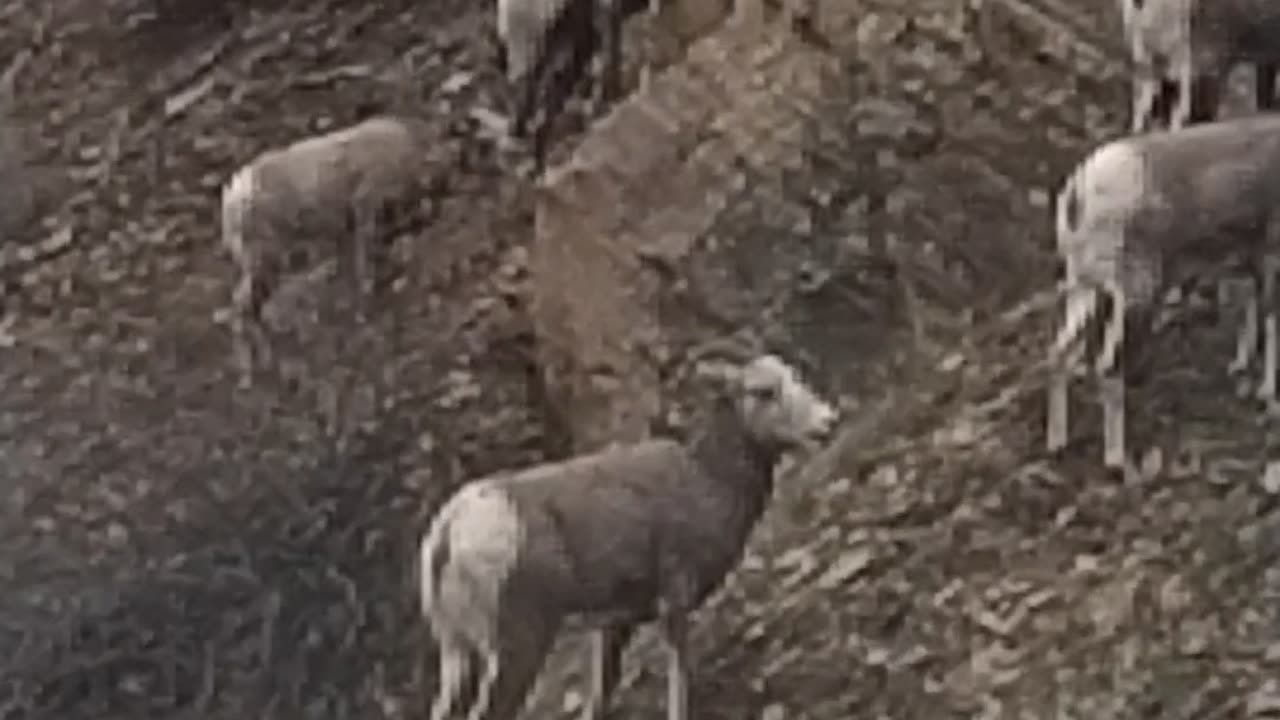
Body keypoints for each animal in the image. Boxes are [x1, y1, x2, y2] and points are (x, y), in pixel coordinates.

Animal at [419, 348, 839, 717]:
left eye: (796, 379)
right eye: (763, 391)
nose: (827, 422)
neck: (708, 480)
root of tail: (451, 528)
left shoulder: (615, 623)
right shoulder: (675, 599)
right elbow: (678, 685)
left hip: (458, 655)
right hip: (516, 649)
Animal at [1044, 113, 1280, 466]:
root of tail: (1081, 192)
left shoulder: (1252, 260)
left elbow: (1252, 311)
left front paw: (1240, 368)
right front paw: (1268, 396)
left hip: (1085, 288)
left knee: (1059, 355)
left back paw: (1057, 445)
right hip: (1133, 295)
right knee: (1109, 369)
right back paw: (1116, 461)